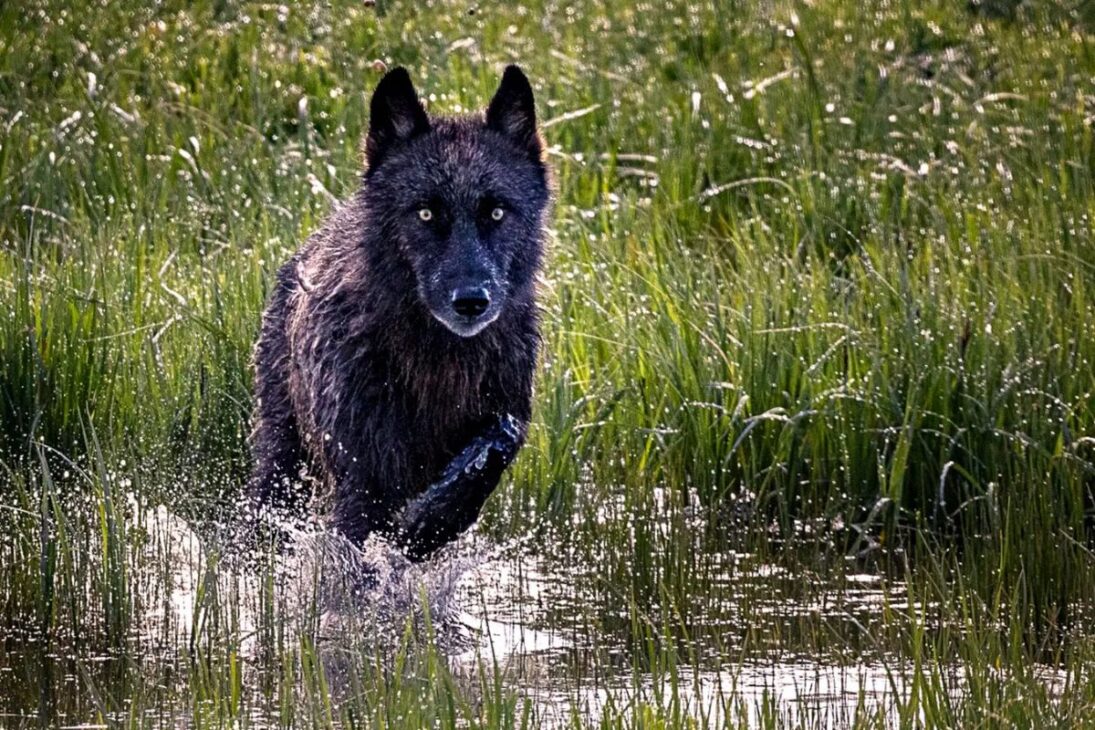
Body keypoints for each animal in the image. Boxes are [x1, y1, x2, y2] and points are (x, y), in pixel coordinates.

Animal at [246, 65, 550, 561]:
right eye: (425, 213)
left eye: (497, 212)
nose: (471, 301)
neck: (438, 358)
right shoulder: (363, 476)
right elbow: (357, 542)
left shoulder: (503, 408)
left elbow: (496, 445)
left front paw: (428, 523)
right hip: (283, 454)